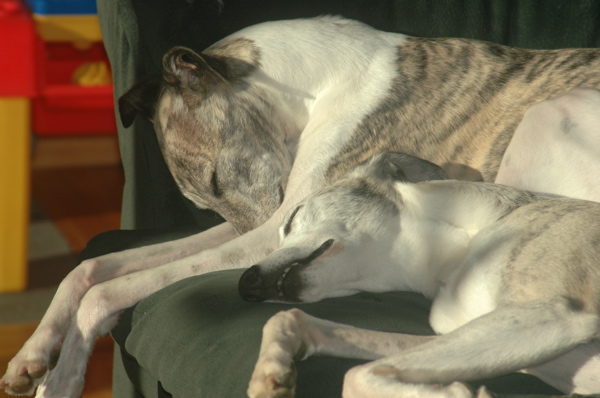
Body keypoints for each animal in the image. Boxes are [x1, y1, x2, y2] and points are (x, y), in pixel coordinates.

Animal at [245, 152, 600, 398]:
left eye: (293, 217)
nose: (246, 284)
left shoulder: (555, 314)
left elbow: (355, 375)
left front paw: (456, 393)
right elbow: (291, 318)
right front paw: (269, 372)